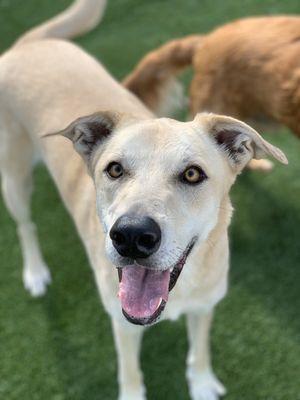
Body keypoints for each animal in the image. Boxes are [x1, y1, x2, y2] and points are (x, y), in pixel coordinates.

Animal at [0, 1, 288, 398]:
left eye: (193, 174)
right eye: (115, 169)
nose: (132, 236)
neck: (177, 292)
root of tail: (31, 43)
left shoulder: (205, 305)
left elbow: (200, 351)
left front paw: (201, 383)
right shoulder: (122, 324)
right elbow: (131, 372)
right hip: (14, 177)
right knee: (25, 225)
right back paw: (35, 272)